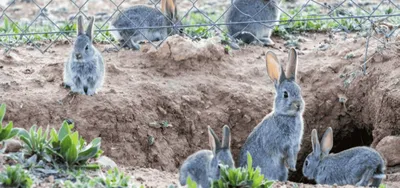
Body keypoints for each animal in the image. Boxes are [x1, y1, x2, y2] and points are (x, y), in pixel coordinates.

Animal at [238, 47, 304, 181]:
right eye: (285, 94)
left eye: (299, 91)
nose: (298, 105)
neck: (287, 116)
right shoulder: (284, 143)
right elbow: (288, 153)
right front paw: (292, 167)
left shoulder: (295, 144)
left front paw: (293, 167)